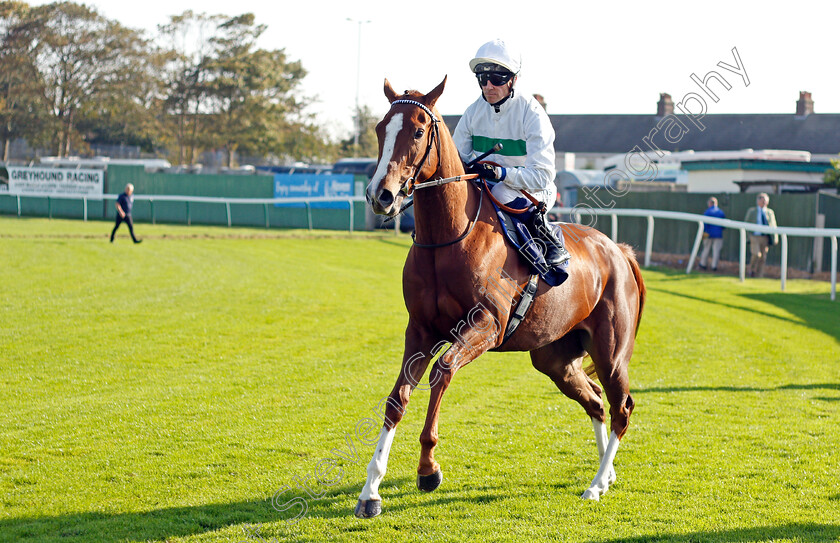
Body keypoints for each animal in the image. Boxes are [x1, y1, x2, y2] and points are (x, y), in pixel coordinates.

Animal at [354, 75, 644, 520]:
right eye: (380, 128)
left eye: (418, 130)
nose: (380, 195)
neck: (448, 239)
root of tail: (619, 250)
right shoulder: (419, 330)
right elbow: (396, 399)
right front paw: (370, 490)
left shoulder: (486, 325)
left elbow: (443, 371)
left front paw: (428, 469)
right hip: (555, 358)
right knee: (595, 401)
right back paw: (605, 474)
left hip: (611, 353)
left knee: (621, 407)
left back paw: (595, 485)